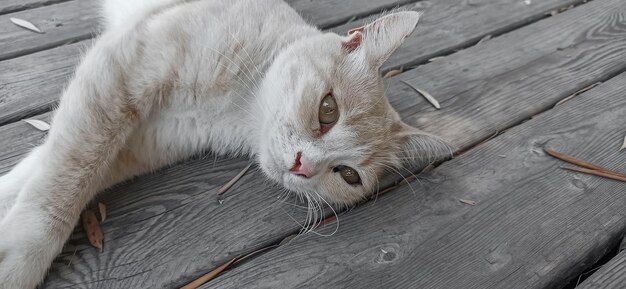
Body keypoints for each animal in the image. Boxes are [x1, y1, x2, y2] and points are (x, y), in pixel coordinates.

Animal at [0, 0, 446, 286]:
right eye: (327, 111)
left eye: (348, 175)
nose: (302, 165)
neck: (239, 111)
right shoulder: (122, 67)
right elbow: (67, 174)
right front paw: (21, 254)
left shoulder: (138, 139)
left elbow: (52, 166)